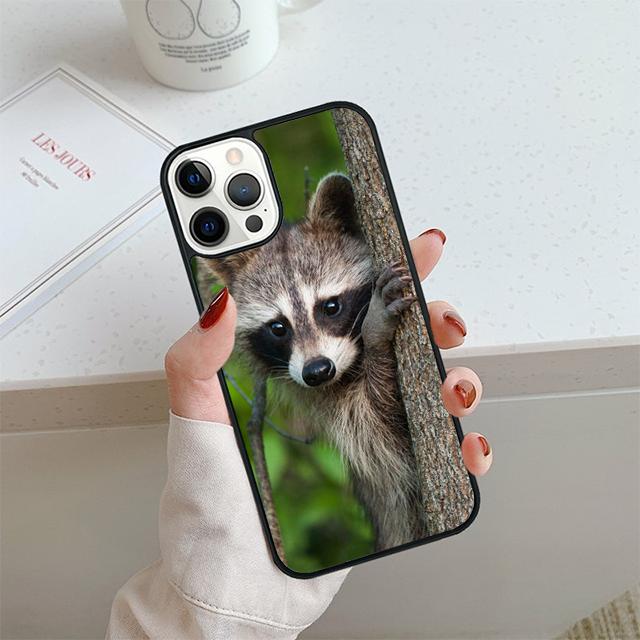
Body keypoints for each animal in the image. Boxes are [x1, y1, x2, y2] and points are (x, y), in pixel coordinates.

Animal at [199, 173, 425, 550]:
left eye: (330, 306)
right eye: (278, 328)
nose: (317, 371)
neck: (351, 367)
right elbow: (386, 435)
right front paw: (376, 335)